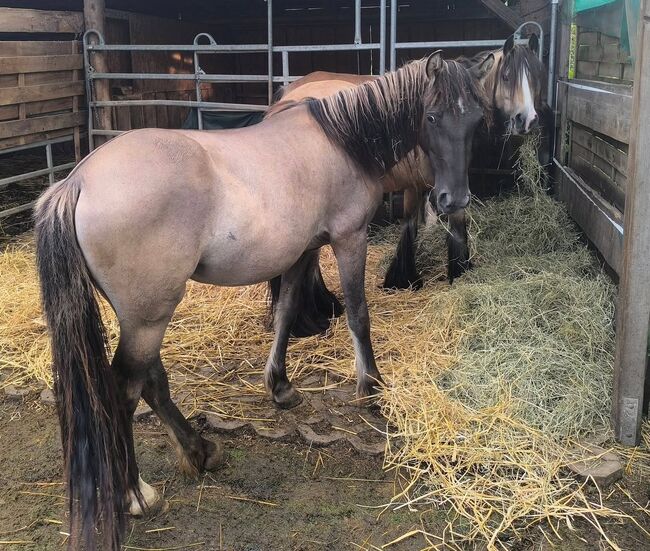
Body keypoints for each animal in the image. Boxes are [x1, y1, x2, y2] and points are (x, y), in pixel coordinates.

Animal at [34, 52, 491, 550]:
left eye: (477, 120)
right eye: (432, 117)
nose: (454, 199)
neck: (340, 142)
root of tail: (79, 181)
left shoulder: (303, 251)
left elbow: (287, 313)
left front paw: (281, 386)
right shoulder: (349, 239)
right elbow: (358, 314)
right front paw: (370, 386)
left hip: (142, 315)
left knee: (152, 382)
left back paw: (200, 450)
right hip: (148, 316)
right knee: (125, 392)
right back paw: (136, 493)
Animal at [267, 34, 546, 338]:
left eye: (536, 76)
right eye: (507, 76)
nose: (527, 120)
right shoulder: (428, 186)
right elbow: (433, 224)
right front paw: (438, 274)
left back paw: (323, 306)